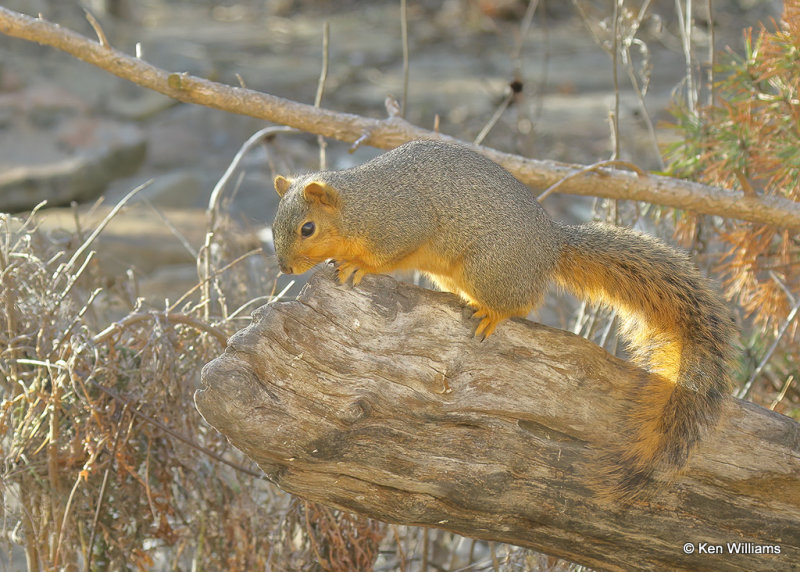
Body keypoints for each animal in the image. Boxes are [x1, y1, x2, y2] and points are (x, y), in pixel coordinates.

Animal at [272, 140, 736, 500]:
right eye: (275, 224)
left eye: (308, 228)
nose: (285, 269)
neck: (358, 206)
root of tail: (549, 248)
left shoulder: (401, 224)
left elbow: (386, 255)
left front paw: (357, 265)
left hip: (488, 267)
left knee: (520, 304)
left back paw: (491, 313)